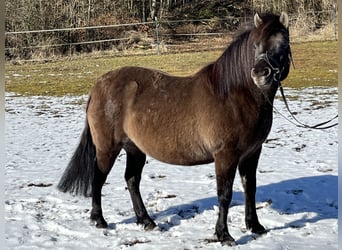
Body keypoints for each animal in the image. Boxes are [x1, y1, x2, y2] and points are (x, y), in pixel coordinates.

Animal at [58, 12, 292, 245]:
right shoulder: (226, 155)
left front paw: (255, 226)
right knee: (98, 178)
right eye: (255, 45)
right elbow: (224, 194)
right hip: (107, 148)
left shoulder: (252, 153)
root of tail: (98, 86)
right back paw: (99, 220)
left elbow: (249, 188)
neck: (235, 96)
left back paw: (146, 221)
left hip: (134, 149)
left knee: (132, 180)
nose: (260, 74)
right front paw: (224, 235)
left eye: (283, 45)